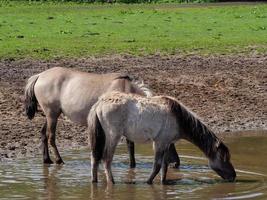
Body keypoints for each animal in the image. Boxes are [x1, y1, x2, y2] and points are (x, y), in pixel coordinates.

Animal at [25, 66, 180, 166]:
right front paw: (132, 165)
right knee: (51, 137)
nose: (177, 163)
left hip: (51, 115)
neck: (126, 89)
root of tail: (39, 76)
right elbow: (130, 144)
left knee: (43, 134)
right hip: (52, 115)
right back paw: (59, 160)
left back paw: (47, 160)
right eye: (170, 141)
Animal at [88, 92, 237, 184]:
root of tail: (99, 103)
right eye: (224, 158)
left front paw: (163, 183)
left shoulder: (166, 143)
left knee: (95, 158)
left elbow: (164, 167)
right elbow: (157, 166)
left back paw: (94, 181)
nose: (233, 176)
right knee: (106, 159)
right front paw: (148, 182)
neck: (178, 118)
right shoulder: (159, 143)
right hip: (113, 136)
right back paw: (112, 183)